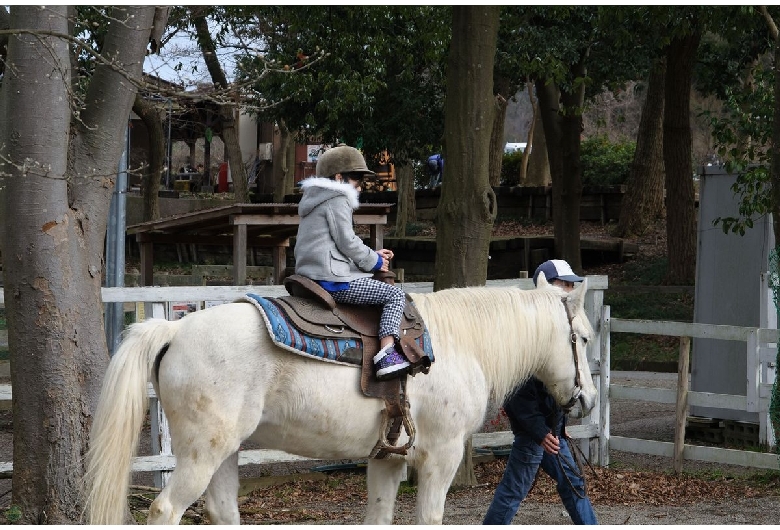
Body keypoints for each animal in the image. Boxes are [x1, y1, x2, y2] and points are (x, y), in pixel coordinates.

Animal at [84, 274, 596, 520]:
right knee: (165, 510)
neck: (458, 343)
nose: (588, 400)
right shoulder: (441, 456)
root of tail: (175, 328)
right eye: (586, 338)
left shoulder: (387, 458)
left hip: (224, 452)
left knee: (223, 510)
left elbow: (379, 517)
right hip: (200, 455)